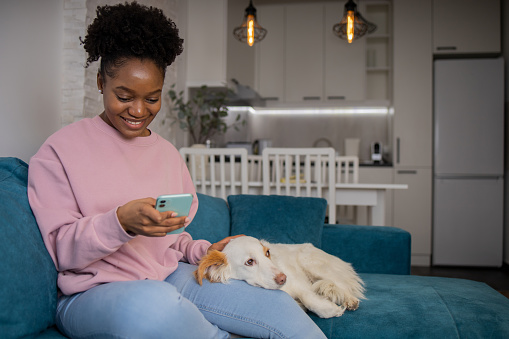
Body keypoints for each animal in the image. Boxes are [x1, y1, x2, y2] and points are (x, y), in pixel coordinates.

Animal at [194, 236, 366, 318]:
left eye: (267, 253)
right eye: (249, 262)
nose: (283, 278)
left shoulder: (298, 283)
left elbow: (308, 298)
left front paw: (330, 310)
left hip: (311, 262)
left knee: (341, 284)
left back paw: (350, 300)